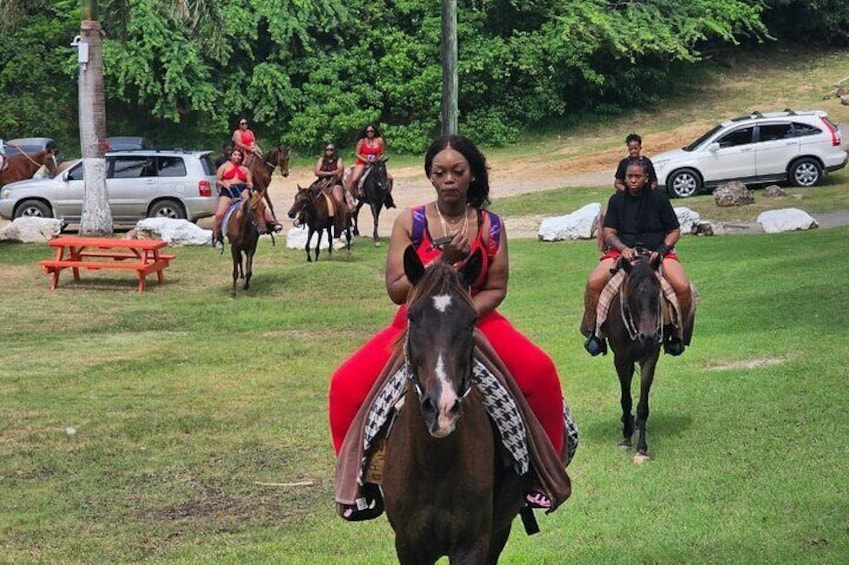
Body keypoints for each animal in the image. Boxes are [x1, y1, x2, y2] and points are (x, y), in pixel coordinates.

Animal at [380, 246, 528, 564]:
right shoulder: (408, 546)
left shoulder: (472, 543)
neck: (433, 463)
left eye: (471, 321)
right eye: (412, 317)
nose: (442, 409)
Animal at [600, 249, 664, 460]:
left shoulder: (650, 359)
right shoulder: (620, 359)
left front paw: (642, 448)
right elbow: (626, 399)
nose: (648, 336)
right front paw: (626, 438)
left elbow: (643, 405)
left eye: (657, 295)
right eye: (631, 298)